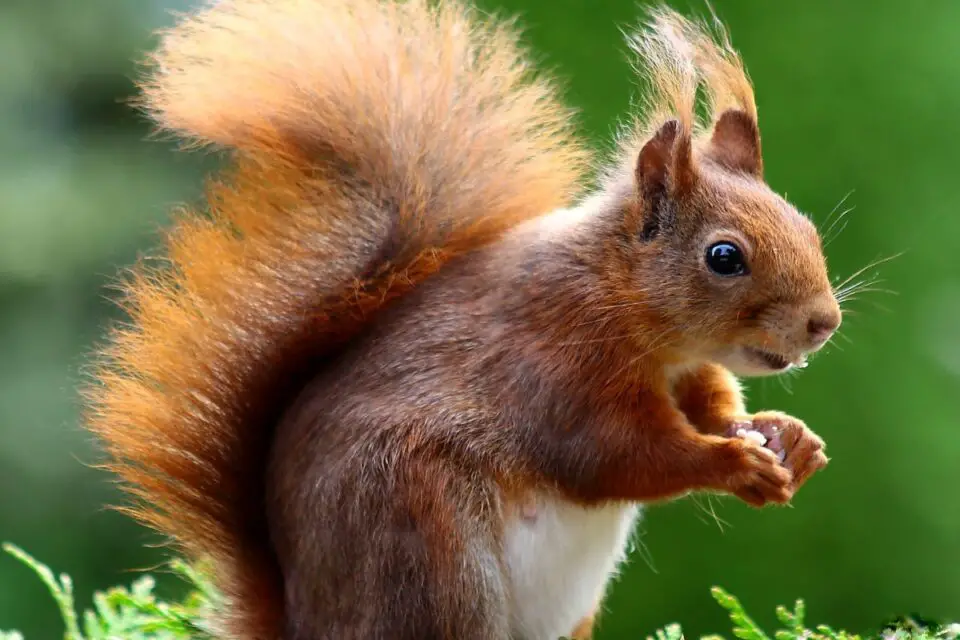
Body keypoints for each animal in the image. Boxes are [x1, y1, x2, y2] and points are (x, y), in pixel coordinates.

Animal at [85, 1, 841, 639]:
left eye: (804, 224)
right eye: (724, 257)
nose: (824, 322)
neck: (624, 301)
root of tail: (306, 621)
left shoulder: (686, 371)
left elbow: (712, 405)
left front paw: (786, 437)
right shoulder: (555, 364)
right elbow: (617, 455)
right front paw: (732, 461)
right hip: (429, 549)